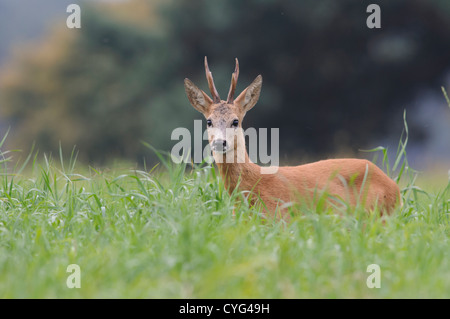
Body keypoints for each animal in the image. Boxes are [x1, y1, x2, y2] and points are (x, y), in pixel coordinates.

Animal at [185, 57, 402, 220]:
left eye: (235, 121)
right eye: (209, 121)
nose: (219, 142)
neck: (251, 187)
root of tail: (395, 187)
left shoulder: (280, 217)